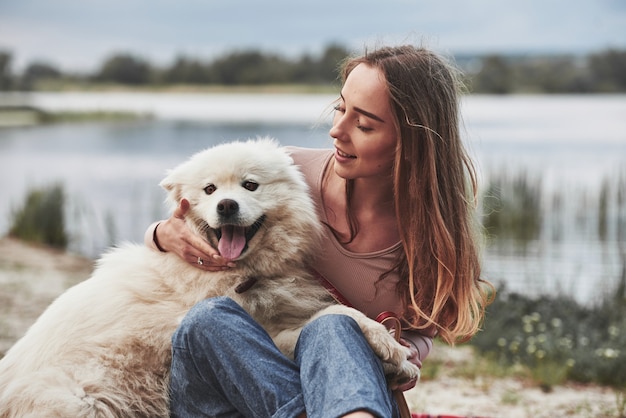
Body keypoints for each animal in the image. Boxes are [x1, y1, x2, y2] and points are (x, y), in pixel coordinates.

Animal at [1, 138, 420, 418]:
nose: (226, 205)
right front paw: (393, 349)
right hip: (81, 402)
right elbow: (334, 316)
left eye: (250, 185)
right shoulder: (265, 332)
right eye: (209, 190)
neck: (242, 274)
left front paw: (397, 359)